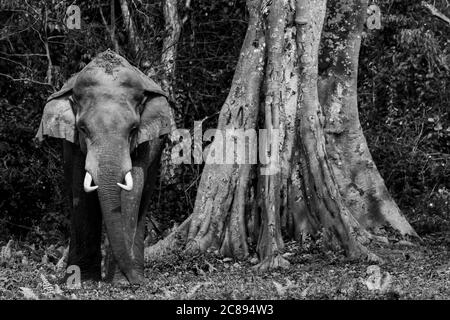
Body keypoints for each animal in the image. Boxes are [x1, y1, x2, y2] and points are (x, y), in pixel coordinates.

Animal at [35, 50, 175, 284]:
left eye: (134, 128)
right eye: (83, 128)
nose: (137, 283)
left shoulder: (145, 143)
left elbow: (132, 191)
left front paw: (121, 281)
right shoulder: (73, 144)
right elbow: (80, 193)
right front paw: (82, 280)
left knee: (145, 198)